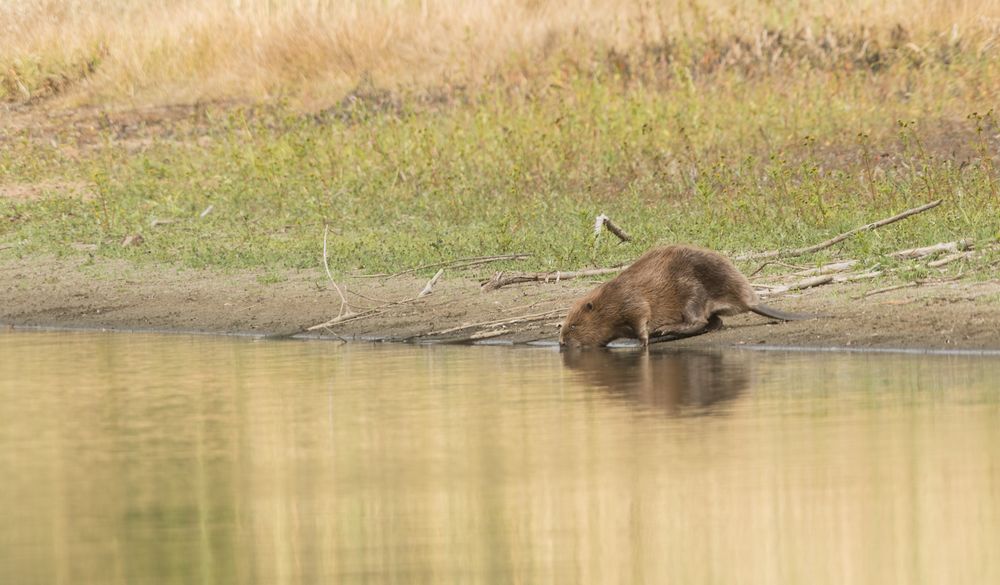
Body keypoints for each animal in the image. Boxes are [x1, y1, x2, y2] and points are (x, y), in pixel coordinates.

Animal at [560, 243, 816, 346]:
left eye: (573, 326)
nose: (561, 343)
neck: (608, 299)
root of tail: (750, 300)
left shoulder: (632, 301)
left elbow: (641, 319)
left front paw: (644, 341)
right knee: (715, 322)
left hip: (692, 291)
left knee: (700, 320)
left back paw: (665, 331)